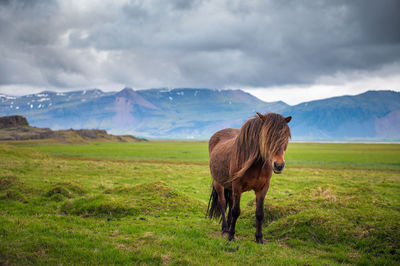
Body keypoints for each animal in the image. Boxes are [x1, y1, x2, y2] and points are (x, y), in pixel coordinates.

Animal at [206, 112, 290, 243]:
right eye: (266, 136)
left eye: (285, 137)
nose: (279, 165)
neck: (256, 164)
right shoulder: (237, 186)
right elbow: (236, 211)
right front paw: (231, 236)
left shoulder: (263, 188)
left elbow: (259, 213)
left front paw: (259, 238)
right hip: (218, 183)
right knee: (223, 203)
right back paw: (225, 229)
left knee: (230, 202)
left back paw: (228, 226)